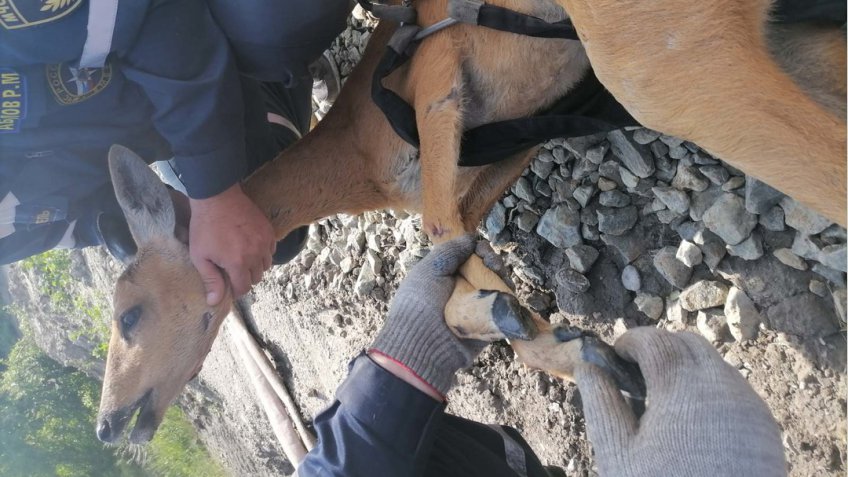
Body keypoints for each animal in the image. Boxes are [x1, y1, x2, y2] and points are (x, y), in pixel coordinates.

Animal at [94, 0, 840, 442]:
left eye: (127, 311)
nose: (107, 424)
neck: (360, 152)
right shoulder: (498, 155)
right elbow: (462, 254)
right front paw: (555, 338)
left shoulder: (439, 95)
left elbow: (443, 237)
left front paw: (571, 347)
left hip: (659, 58)